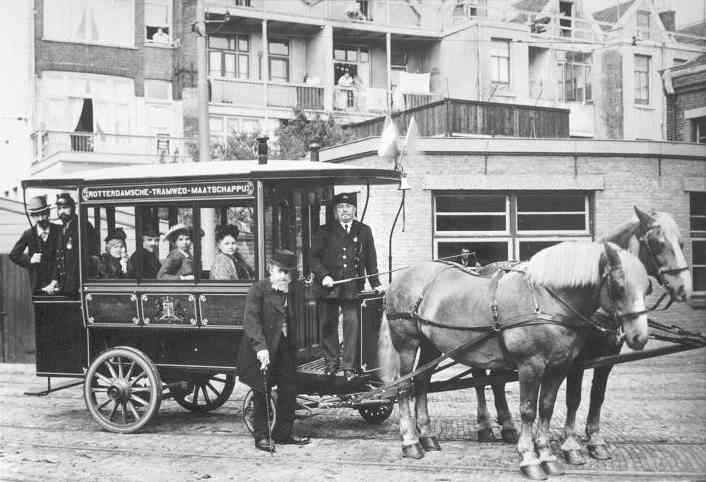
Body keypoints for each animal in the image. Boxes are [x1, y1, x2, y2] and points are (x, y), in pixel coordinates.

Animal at [380, 243, 648, 480]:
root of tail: (404, 276)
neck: (547, 301)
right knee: (404, 387)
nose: (639, 336)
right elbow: (528, 411)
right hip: (407, 344)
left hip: (431, 347)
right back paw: (411, 442)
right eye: (619, 286)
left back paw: (427, 437)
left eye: (647, 287)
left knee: (422, 382)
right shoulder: (531, 366)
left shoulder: (559, 367)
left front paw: (547, 457)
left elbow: (547, 407)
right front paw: (529, 459)